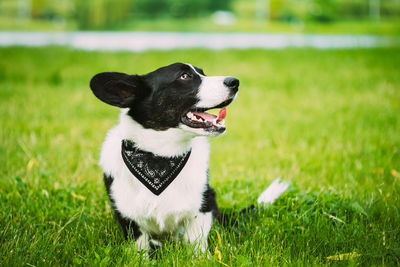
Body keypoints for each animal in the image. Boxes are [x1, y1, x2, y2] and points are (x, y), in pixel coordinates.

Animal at [90, 62, 288, 255]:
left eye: (202, 72)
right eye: (185, 76)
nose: (235, 82)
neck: (161, 158)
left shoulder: (201, 208)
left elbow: (197, 244)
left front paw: (204, 258)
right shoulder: (129, 219)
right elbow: (140, 249)